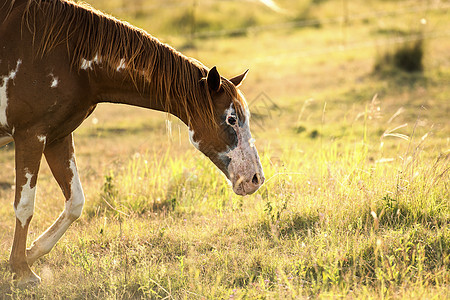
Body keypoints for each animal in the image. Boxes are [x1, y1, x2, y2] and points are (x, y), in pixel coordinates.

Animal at [0, 0, 264, 286]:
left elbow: (75, 203)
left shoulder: (57, 136)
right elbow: (25, 205)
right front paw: (22, 271)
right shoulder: (30, 135)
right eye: (231, 119)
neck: (69, 57)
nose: (256, 179)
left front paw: (30, 253)